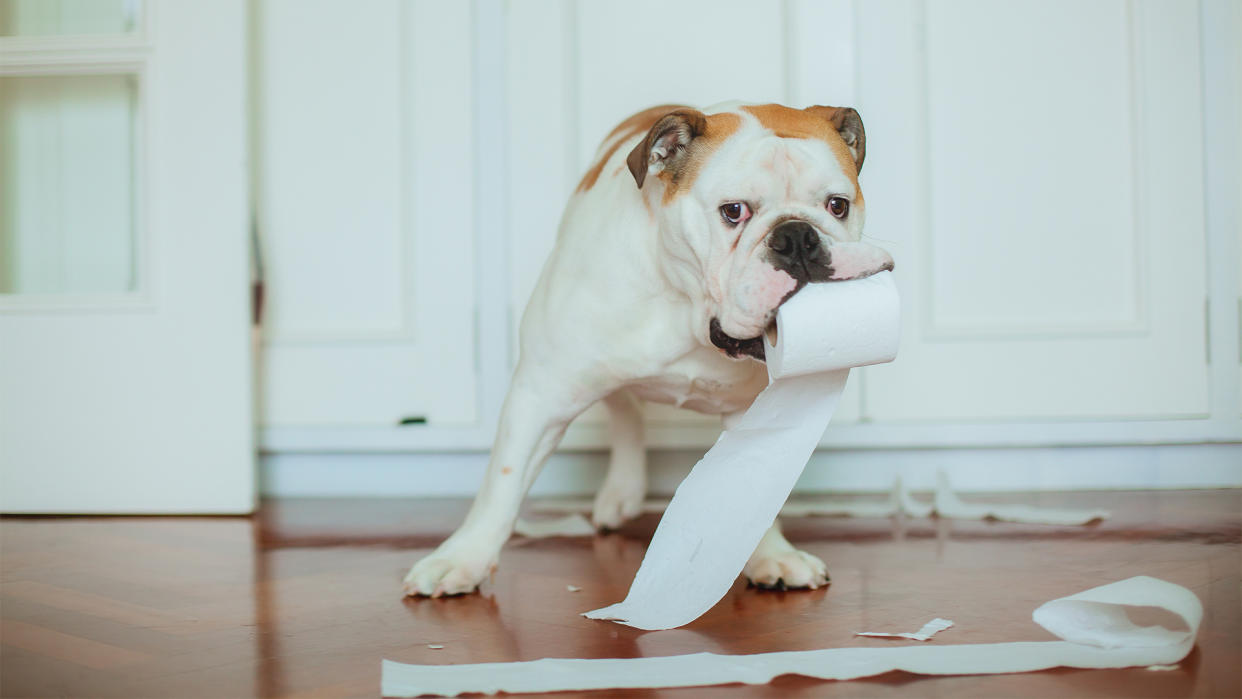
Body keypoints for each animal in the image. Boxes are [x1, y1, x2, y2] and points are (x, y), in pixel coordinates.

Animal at [404, 101, 894, 598]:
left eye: (838, 205)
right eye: (733, 211)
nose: (798, 237)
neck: (689, 309)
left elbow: (752, 487)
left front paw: (771, 554)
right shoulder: (540, 394)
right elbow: (501, 485)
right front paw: (462, 559)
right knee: (622, 405)